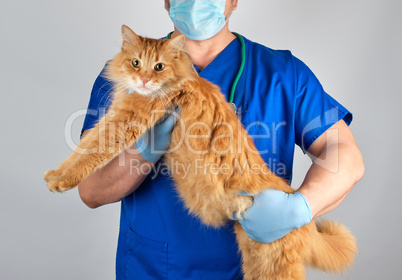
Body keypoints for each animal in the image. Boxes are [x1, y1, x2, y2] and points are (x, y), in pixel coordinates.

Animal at [44, 25, 356, 278]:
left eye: (158, 67)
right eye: (135, 63)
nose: (143, 80)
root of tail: (300, 208)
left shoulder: (124, 122)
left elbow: (90, 153)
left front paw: (62, 179)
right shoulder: (115, 116)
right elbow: (84, 147)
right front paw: (56, 174)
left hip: (272, 263)